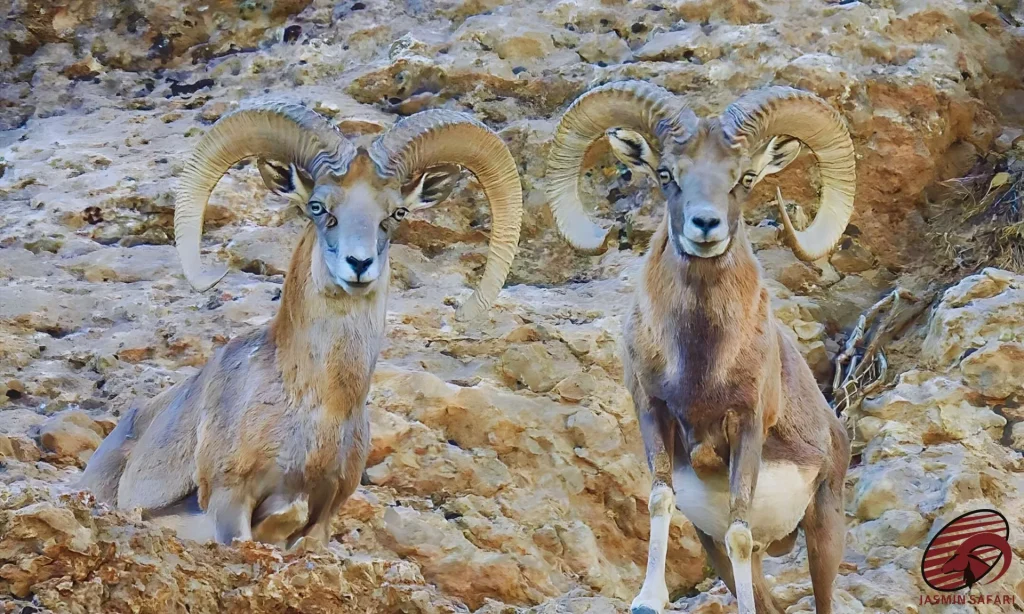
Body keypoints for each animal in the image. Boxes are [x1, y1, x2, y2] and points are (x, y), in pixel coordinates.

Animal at [80, 101, 523, 550]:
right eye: (318, 207)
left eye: (396, 212)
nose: (359, 264)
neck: (321, 407)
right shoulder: (229, 502)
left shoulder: (322, 516)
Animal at [544, 81, 855, 614]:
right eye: (667, 174)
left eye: (745, 177)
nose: (705, 225)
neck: (701, 366)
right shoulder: (654, 412)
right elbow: (660, 499)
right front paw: (647, 600)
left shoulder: (747, 425)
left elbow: (740, 530)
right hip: (719, 549)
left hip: (824, 529)